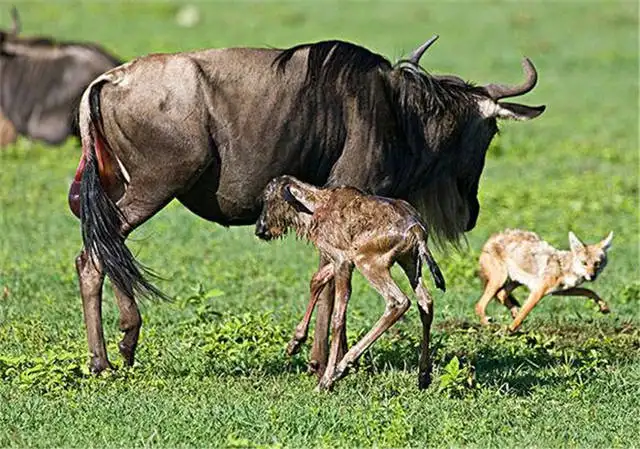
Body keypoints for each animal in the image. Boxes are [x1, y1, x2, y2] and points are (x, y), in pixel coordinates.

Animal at [255, 173, 444, 390]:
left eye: (269, 198)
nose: (260, 229)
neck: (316, 206)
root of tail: (416, 229)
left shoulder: (342, 261)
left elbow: (338, 318)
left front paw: (326, 379)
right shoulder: (343, 260)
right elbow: (316, 280)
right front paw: (294, 343)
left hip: (369, 263)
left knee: (398, 301)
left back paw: (341, 367)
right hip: (410, 262)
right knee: (426, 302)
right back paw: (424, 375)